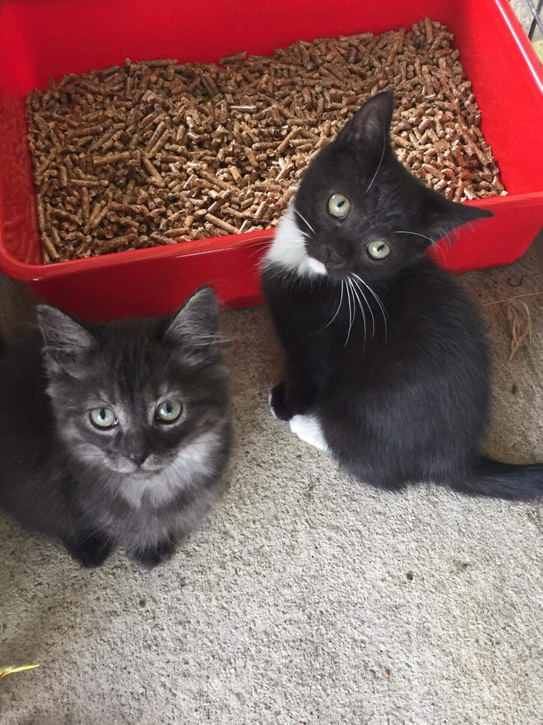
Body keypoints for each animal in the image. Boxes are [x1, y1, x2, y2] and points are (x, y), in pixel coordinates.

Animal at [263, 90, 543, 500]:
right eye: (339, 204)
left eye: (379, 249)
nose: (334, 255)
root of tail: (458, 460)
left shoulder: (314, 349)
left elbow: (305, 379)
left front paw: (286, 405)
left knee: (367, 456)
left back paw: (308, 425)